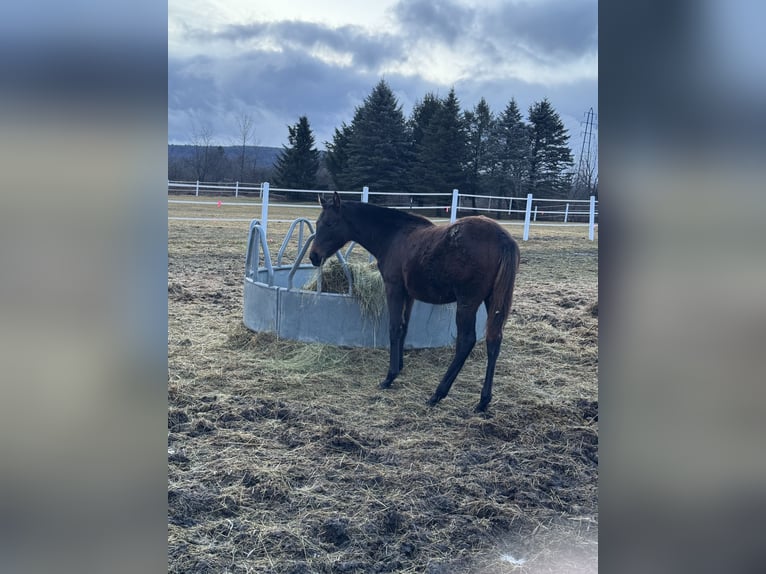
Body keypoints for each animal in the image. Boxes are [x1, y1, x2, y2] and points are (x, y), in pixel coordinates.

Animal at [310, 194, 520, 414]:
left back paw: (438, 394)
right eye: (317, 223)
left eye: (330, 223)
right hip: (492, 300)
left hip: (467, 302)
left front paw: (389, 377)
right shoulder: (409, 295)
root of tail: (502, 238)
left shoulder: (393, 288)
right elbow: (404, 327)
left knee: (466, 340)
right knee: (493, 340)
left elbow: (394, 328)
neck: (393, 236)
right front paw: (399, 367)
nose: (313, 256)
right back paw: (483, 401)